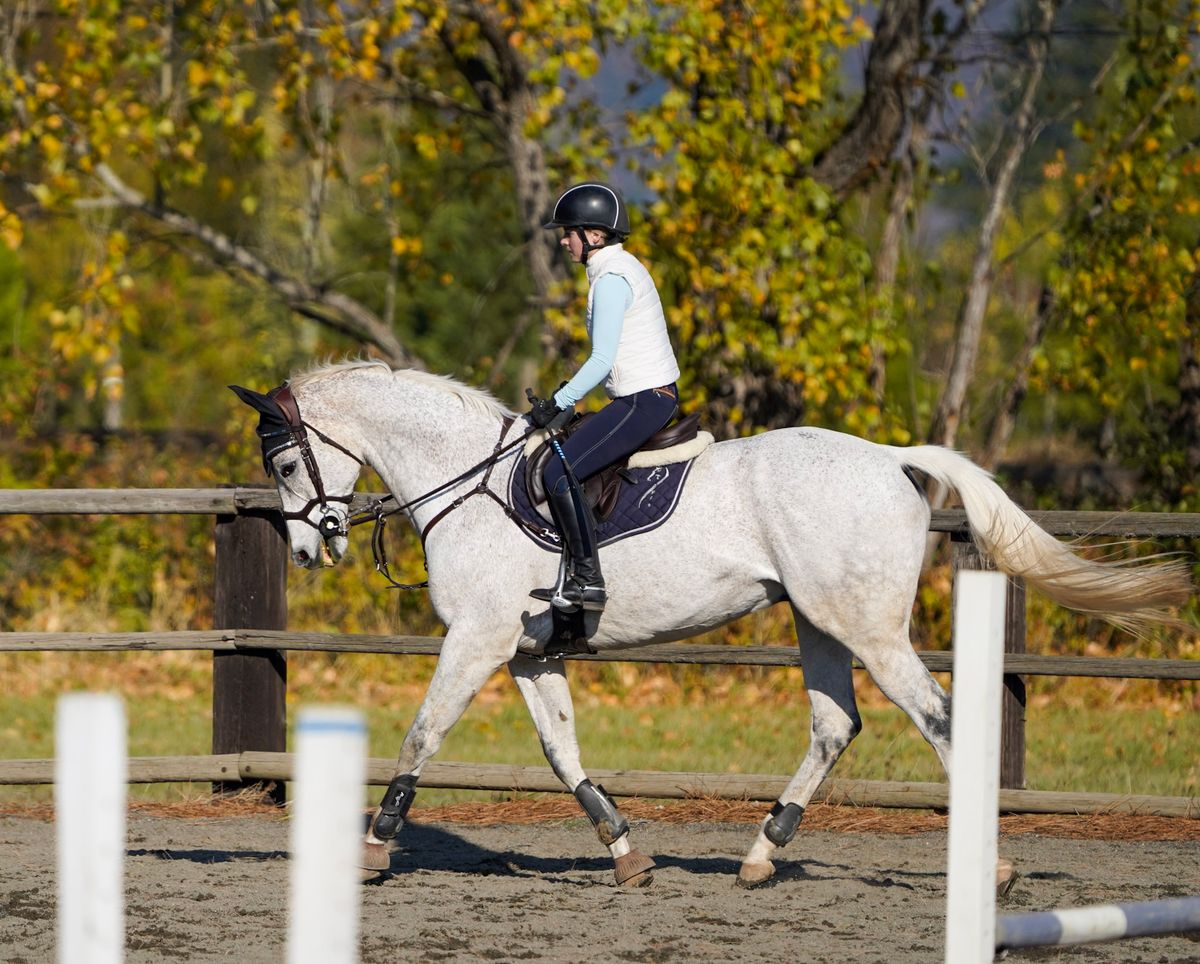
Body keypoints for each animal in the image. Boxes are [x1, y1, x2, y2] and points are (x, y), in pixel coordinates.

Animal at [234, 360, 1190, 888]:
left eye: (285, 463)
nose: (310, 548)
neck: (466, 480)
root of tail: (892, 459)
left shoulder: (476, 639)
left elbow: (421, 735)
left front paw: (373, 845)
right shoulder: (528, 653)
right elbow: (561, 751)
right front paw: (624, 850)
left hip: (868, 627)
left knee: (939, 719)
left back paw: (989, 865)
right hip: (819, 621)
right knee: (835, 724)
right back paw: (761, 855)